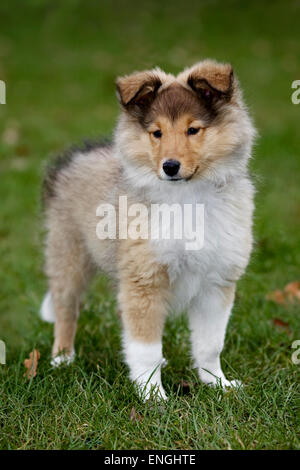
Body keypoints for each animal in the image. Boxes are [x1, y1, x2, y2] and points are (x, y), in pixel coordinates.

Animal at [40, 59, 255, 400]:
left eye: (193, 129)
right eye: (156, 133)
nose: (170, 166)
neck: (187, 198)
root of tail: (75, 157)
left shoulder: (216, 282)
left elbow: (210, 344)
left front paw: (218, 384)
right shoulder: (145, 280)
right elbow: (147, 348)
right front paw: (154, 397)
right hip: (68, 254)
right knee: (66, 308)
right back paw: (62, 359)